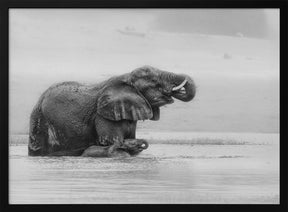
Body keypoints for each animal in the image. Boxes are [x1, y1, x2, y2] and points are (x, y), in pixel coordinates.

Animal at [28, 65, 196, 157]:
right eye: (154, 82)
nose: (174, 91)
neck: (127, 77)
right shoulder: (103, 114)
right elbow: (111, 142)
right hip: (44, 121)